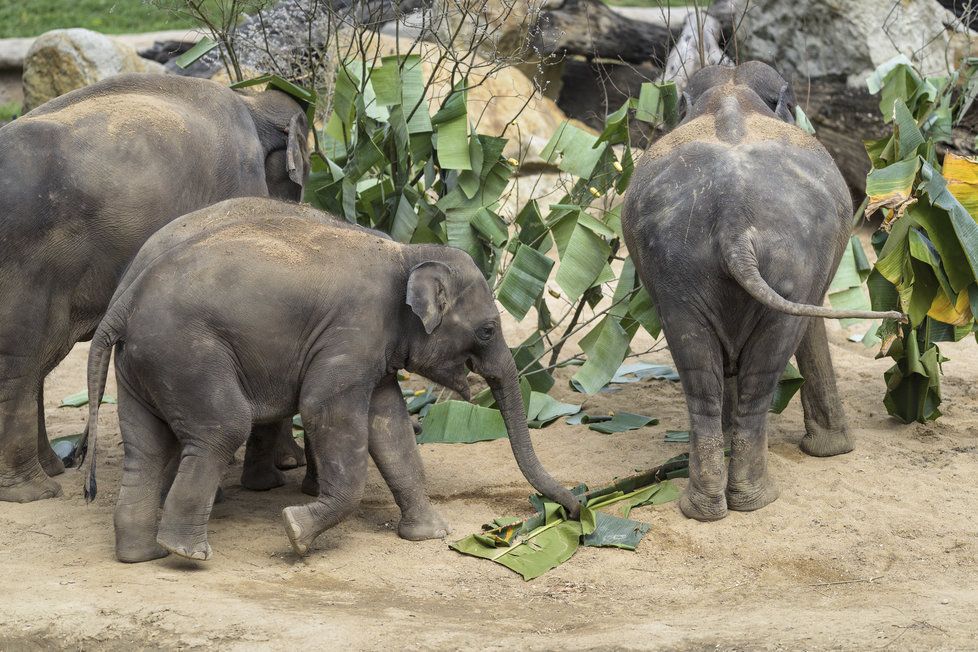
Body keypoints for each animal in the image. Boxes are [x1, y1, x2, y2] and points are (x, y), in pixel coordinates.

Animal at [0, 71, 308, 502]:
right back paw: (34, 490)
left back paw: (52, 470)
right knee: (22, 361)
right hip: (28, 262)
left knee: (34, 362)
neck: (252, 100)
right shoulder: (240, 179)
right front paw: (286, 466)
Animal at [86, 196, 580, 564]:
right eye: (488, 330)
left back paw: (142, 553)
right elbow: (324, 407)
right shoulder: (352, 332)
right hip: (186, 355)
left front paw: (431, 534)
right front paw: (295, 530)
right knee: (223, 427)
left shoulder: (373, 350)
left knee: (147, 449)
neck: (407, 252)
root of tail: (124, 301)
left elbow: (389, 426)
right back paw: (187, 551)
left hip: (146, 365)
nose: (577, 505)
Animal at [620, 59, 904, 520]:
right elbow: (811, 330)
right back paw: (758, 498)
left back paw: (706, 506)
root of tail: (733, 216)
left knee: (699, 372)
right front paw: (835, 451)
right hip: (792, 256)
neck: (732, 90)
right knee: (768, 361)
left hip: (678, 264)